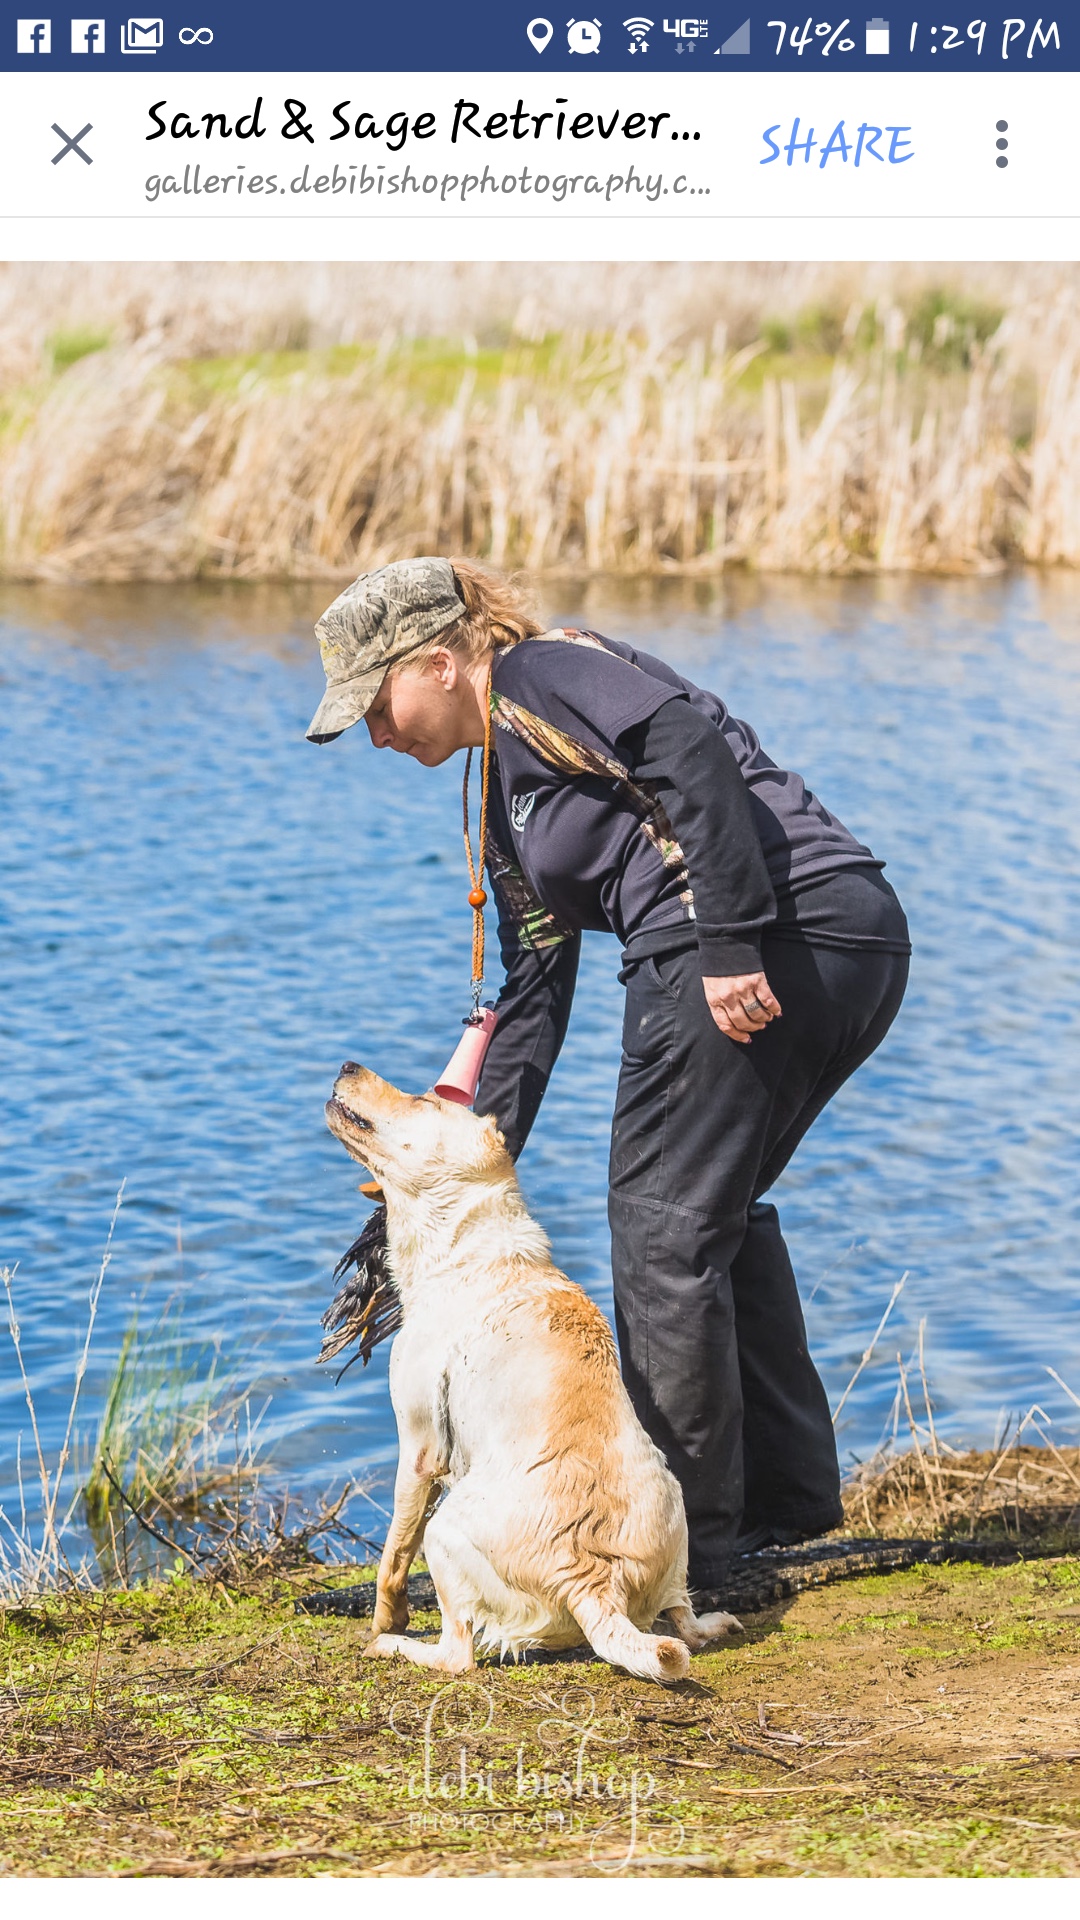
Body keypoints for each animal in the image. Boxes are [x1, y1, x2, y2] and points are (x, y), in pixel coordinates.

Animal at [325, 1063, 740, 1683]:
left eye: (424, 1099)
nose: (348, 1065)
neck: (466, 1248)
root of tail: (594, 1582)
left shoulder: (420, 1448)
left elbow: (393, 1554)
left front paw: (385, 1620)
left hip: (444, 1531)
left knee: (458, 1653)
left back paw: (397, 1647)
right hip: (674, 1517)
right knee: (683, 1620)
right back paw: (715, 1622)